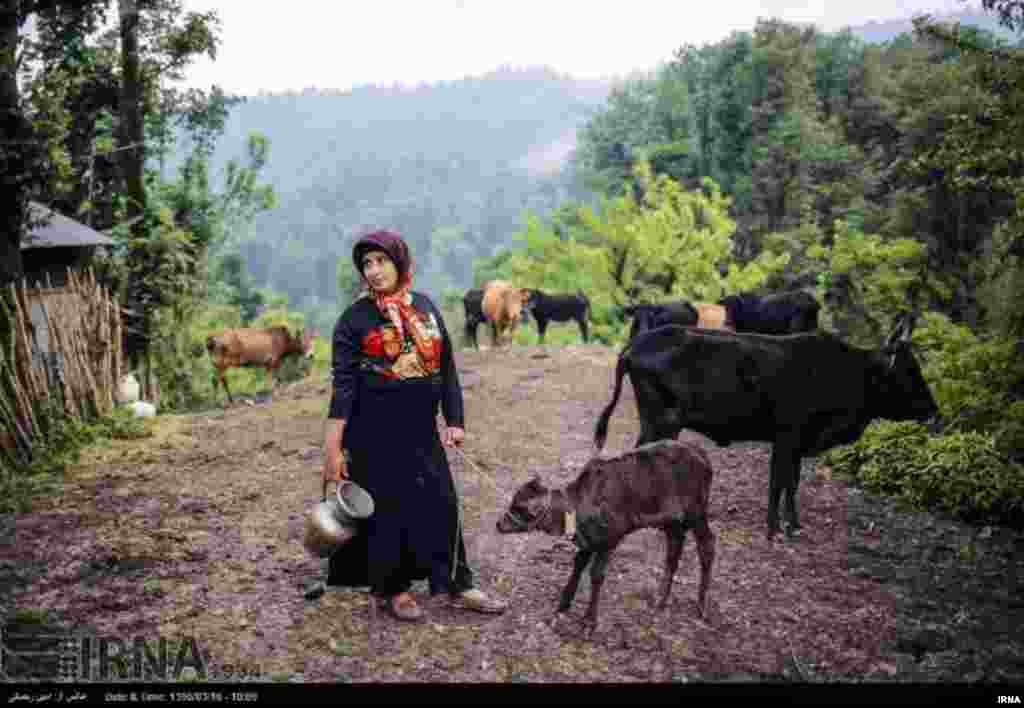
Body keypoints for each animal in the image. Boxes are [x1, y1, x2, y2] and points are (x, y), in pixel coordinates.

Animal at [495, 440, 712, 635]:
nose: (498, 524)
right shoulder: (589, 540)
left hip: (696, 512)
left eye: (519, 508)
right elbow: (578, 564)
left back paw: (701, 606)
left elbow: (597, 575)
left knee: (707, 545)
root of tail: (701, 454)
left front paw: (589, 621)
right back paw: (660, 600)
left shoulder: (610, 539)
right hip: (673, 522)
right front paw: (563, 603)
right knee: (674, 550)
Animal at [598, 313, 937, 540]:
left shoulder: (796, 443)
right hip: (662, 420)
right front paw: (773, 529)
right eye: (908, 370)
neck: (844, 371)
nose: (934, 410)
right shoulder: (787, 437)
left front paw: (794, 525)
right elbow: (778, 481)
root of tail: (635, 344)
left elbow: (792, 483)